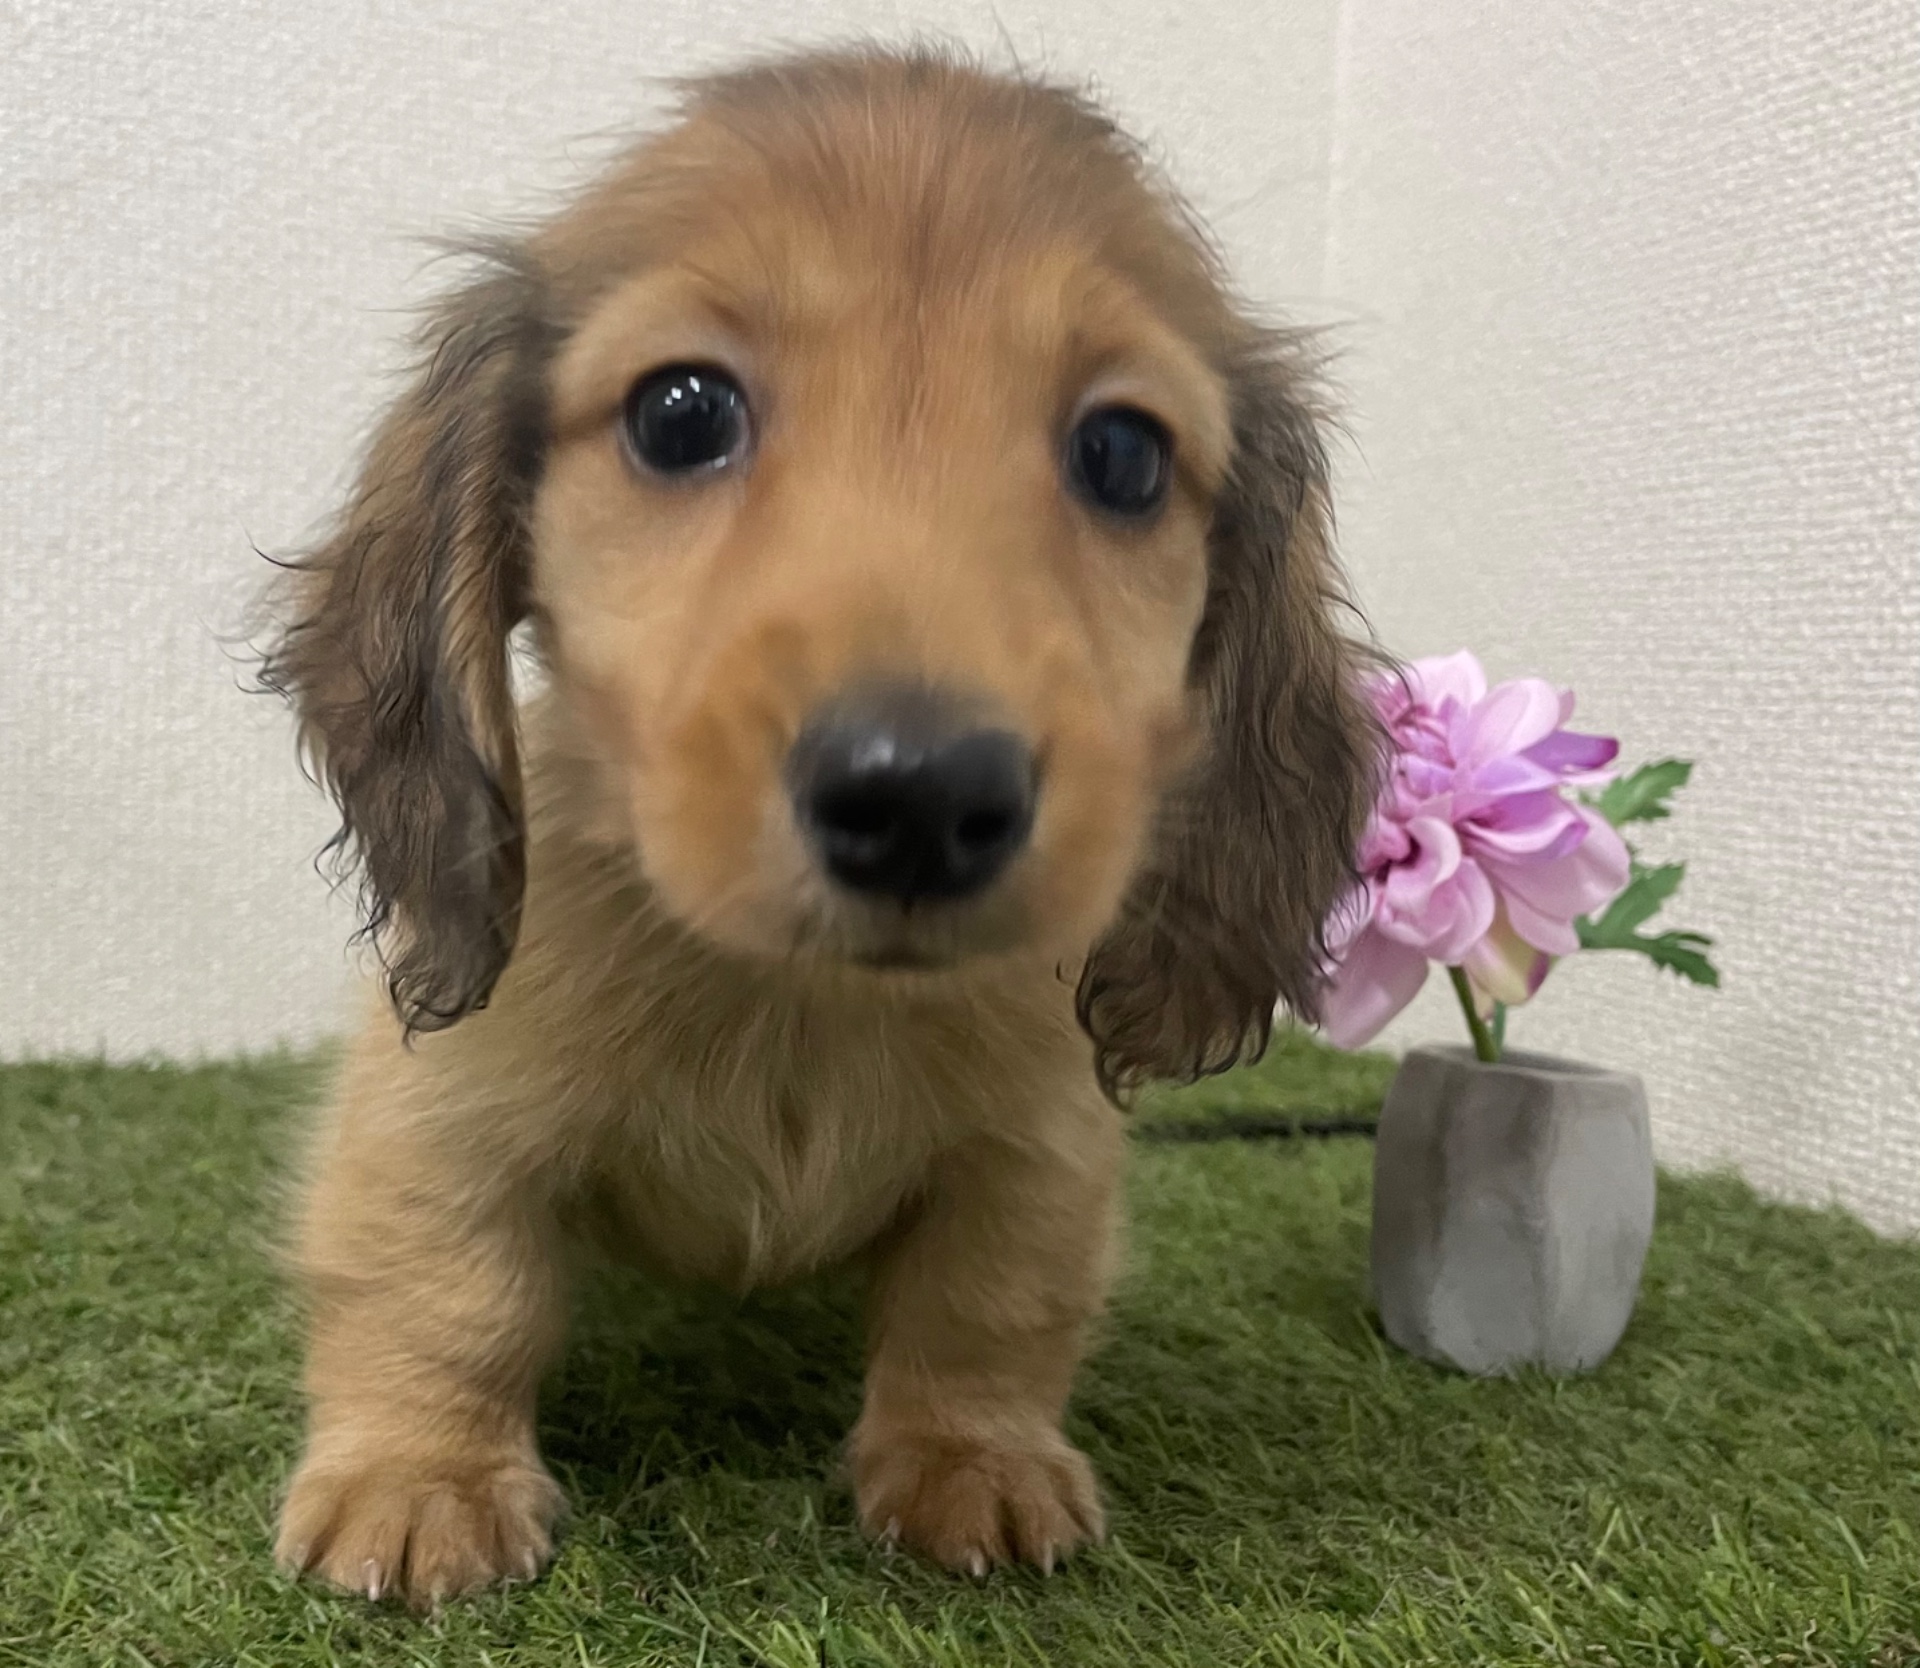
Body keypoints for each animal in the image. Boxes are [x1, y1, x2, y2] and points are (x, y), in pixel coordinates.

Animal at [261, 46, 1377, 1608]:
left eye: (1123, 454)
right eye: (680, 412)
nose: (919, 797)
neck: (803, 1004)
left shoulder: (1042, 1149)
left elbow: (991, 1301)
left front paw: (972, 1458)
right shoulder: (439, 1110)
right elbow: (441, 1283)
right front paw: (421, 1477)